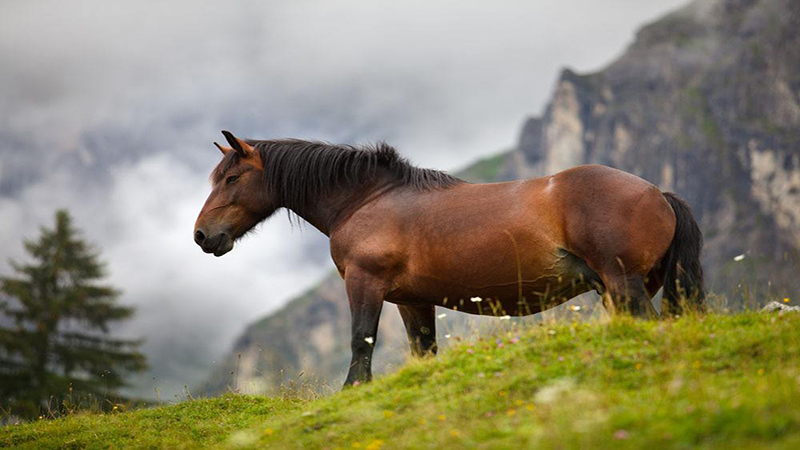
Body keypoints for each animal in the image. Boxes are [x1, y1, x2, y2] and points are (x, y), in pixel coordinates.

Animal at [195, 129, 708, 386]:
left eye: (232, 178)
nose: (203, 236)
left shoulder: (364, 284)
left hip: (624, 285)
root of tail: (657, 193)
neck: (367, 200)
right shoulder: (412, 301)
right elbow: (423, 351)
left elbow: (361, 343)